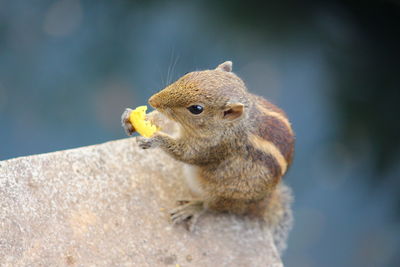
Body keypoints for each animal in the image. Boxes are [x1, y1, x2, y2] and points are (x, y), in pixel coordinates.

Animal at [121, 61, 294, 255]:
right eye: (188, 75)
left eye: (196, 109)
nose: (152, 100)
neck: (233, 124)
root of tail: (262, 203)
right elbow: (164, 120)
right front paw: (131, 117)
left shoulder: (213, 147)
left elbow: (186, 153)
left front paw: (155, 139)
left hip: (224, 194)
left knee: (210, 206)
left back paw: (192, 208)